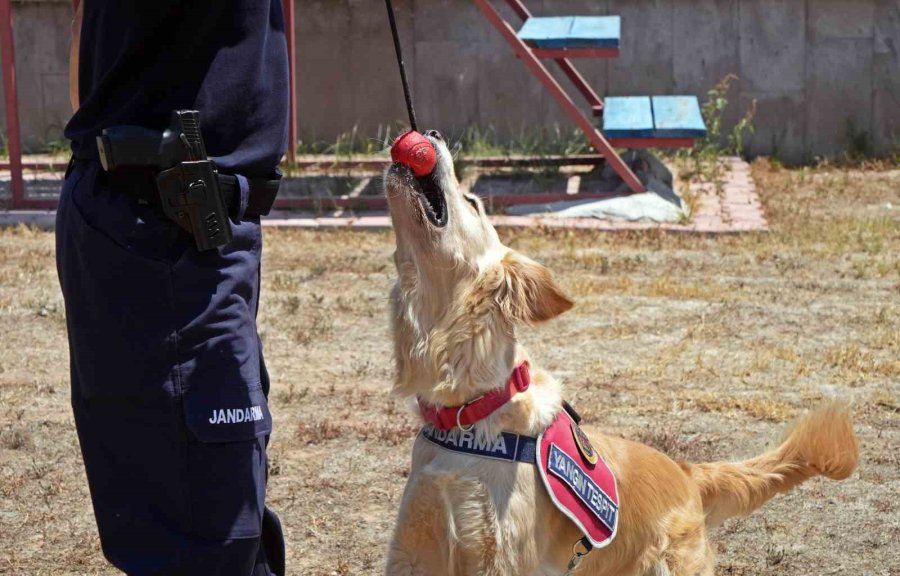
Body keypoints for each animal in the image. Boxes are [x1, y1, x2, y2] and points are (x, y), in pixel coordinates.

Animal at [380, 132, 856, 576]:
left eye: (473, 203)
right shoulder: (413, 551)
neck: (467, 409)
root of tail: (688, 473)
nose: (432, 134)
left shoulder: (499, 559)